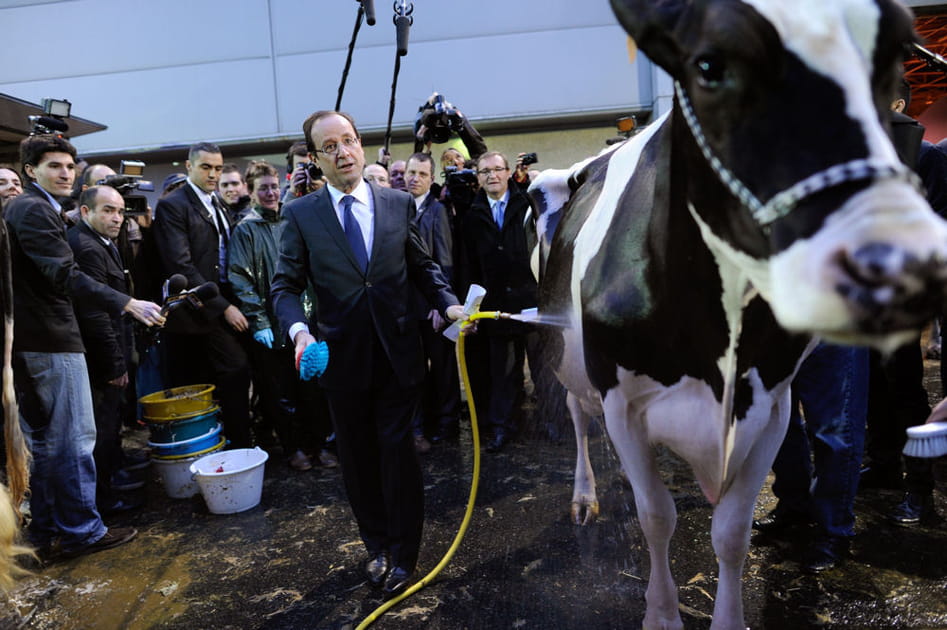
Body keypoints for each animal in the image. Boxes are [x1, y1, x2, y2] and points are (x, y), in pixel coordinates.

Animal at [528, 1, 947, 630]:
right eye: (710, 67)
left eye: (895, 53)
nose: (897, 257)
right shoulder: (622, 401)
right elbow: (657, 516)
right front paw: (661, 614)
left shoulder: (770, 409)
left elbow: (731, 532)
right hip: (568, 355)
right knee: (580, 419)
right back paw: (585, 496)